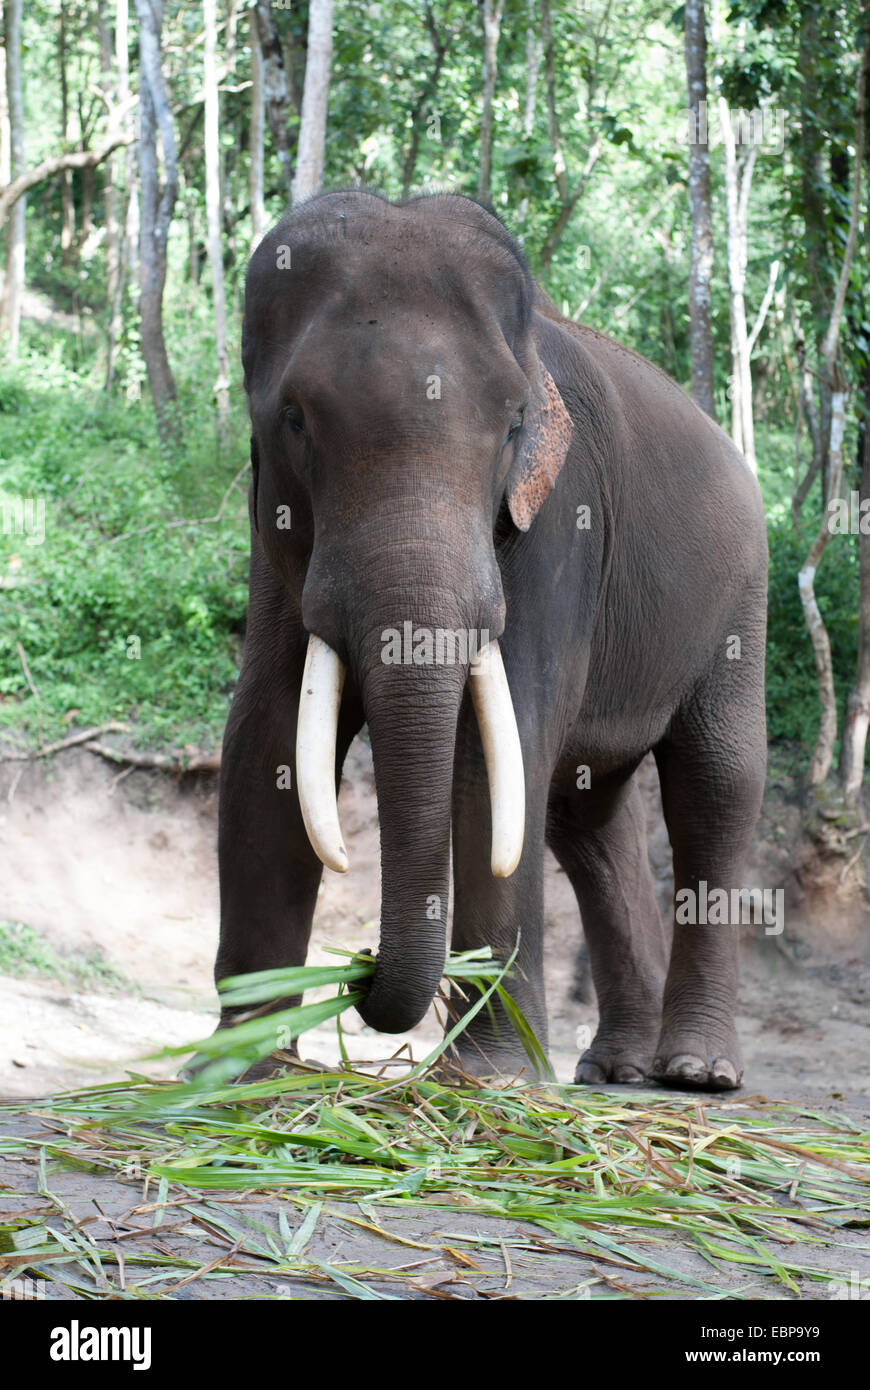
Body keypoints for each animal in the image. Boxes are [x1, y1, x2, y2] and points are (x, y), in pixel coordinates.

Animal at [214, 190, 761, 1089]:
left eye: (512, 427)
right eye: (294, 419)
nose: (360, 969)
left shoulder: (560, 524)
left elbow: (497, 745)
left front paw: (495, 1077)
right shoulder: (275, 533)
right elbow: (266, 733)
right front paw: (241, 1073)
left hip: (741, 599)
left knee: (715, 786)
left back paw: (696, 1071)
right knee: (587, 821)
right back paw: (616, 1069)